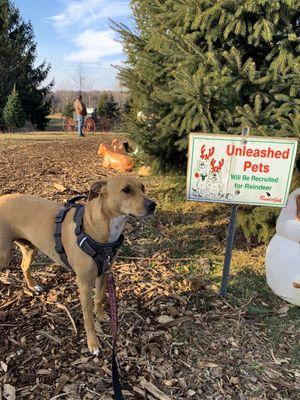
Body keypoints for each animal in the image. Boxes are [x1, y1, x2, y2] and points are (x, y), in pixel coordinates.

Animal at [0, 177, 156, 354]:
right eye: (126, 190)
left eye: (143, 188)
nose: (153, 205)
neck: (97, 228)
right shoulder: (85, 285)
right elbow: (88, 318)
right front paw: (93, 343)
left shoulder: (103, 273)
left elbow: (99, 298)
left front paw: (100, 315)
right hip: (3, 255)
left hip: (29, 249)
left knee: (23, 266)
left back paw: (33, 286)